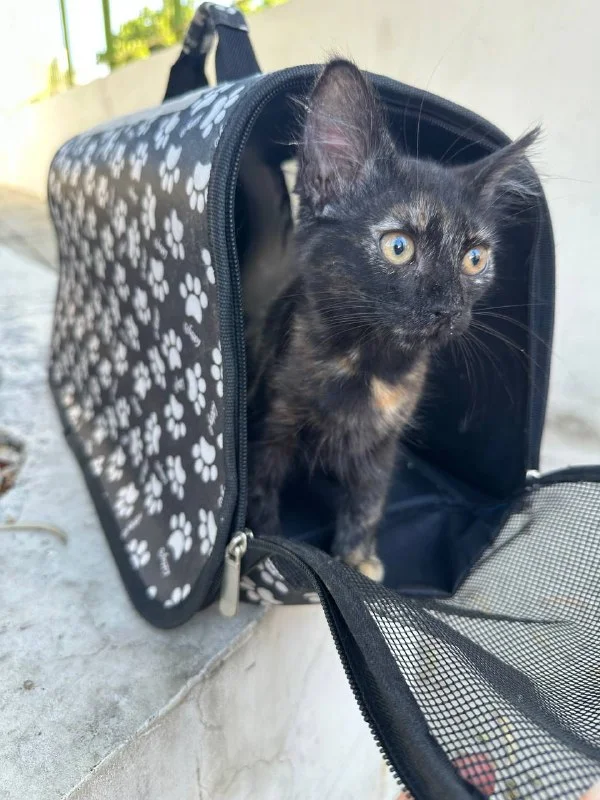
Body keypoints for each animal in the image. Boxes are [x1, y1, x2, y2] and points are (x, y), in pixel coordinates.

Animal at [242, 58, 538, 581]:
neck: (367, 368)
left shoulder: (383, 445)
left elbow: (368, 501)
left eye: (475, 259)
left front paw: (356, 558)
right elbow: (261, 495)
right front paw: (273, 555)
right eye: (398, 247)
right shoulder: (269, 430)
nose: (447, 307)